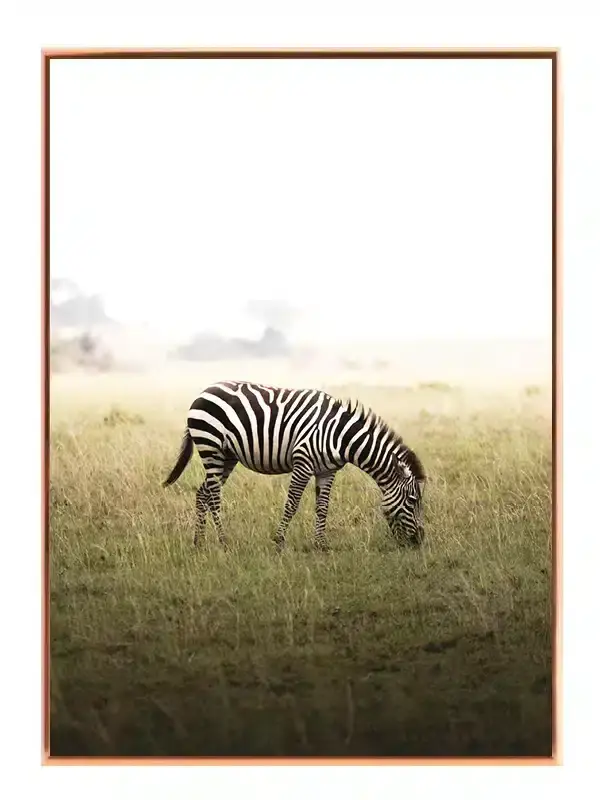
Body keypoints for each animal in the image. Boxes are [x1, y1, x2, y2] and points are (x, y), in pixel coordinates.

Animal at [163, 380, 426, 550]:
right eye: (413, 501)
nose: (420, 541)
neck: (341, 436)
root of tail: (203, 391)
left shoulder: (327, 470)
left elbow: (323, 506)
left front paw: (321, 544)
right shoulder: (303, 462)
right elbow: (292, 504)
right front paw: (279, 541)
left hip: (227, 455)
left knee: (203, 493)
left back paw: (199, 542)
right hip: (211, 447)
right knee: (214, 495)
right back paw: (224, 541)